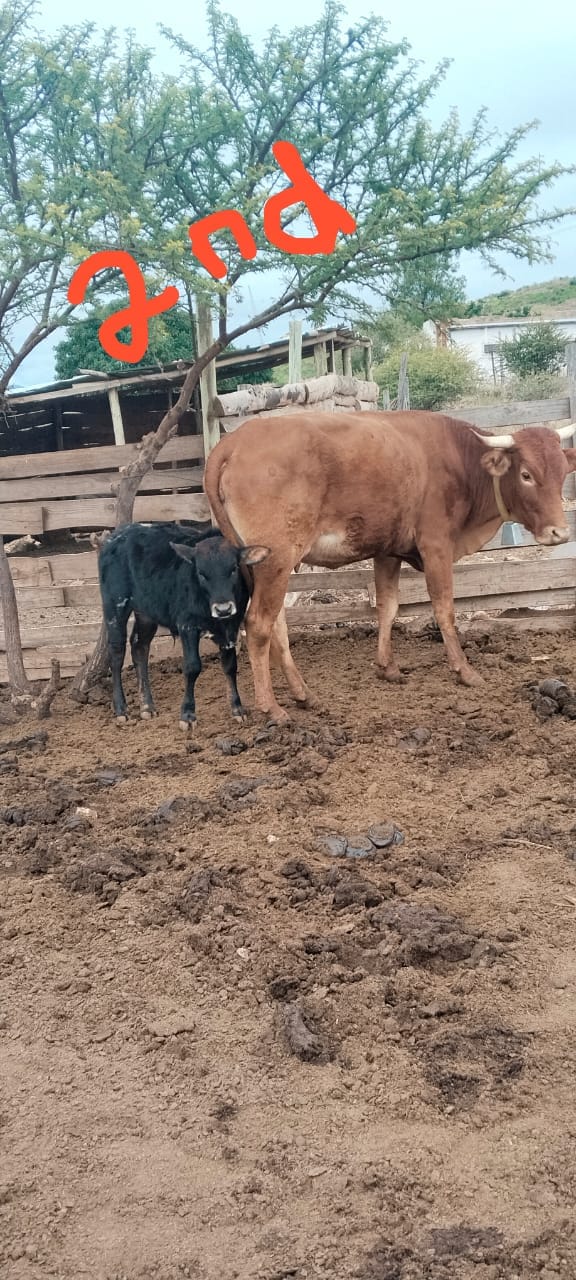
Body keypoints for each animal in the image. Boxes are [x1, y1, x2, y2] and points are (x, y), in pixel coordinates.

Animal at [98, 520, 269, 730]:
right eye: (201, 573)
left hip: (146, 612)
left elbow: (230, 666)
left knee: (139, 648)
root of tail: (117, 535)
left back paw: (147, 706)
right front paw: (187, 715)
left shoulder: (231, 627)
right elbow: (192, 667)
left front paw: (238, 709)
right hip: (115, 605)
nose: (223, 609)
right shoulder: (187, 626)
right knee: (117, 654)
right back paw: (121, 709)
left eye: (234, 568)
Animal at [203, 411, 576, 724]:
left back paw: (303, 694)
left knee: (277, 624)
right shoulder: (436, 545)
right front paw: (464, 670)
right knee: (258, 625)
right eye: (526, 474)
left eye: (561, 473)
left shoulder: (388, 551)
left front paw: (388, 667)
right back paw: (272, 707)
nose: (559, 533)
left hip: (271, 566)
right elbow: (444, 609)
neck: (460, 459)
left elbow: (387, 606)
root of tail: (235, 441)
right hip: (276, 558)